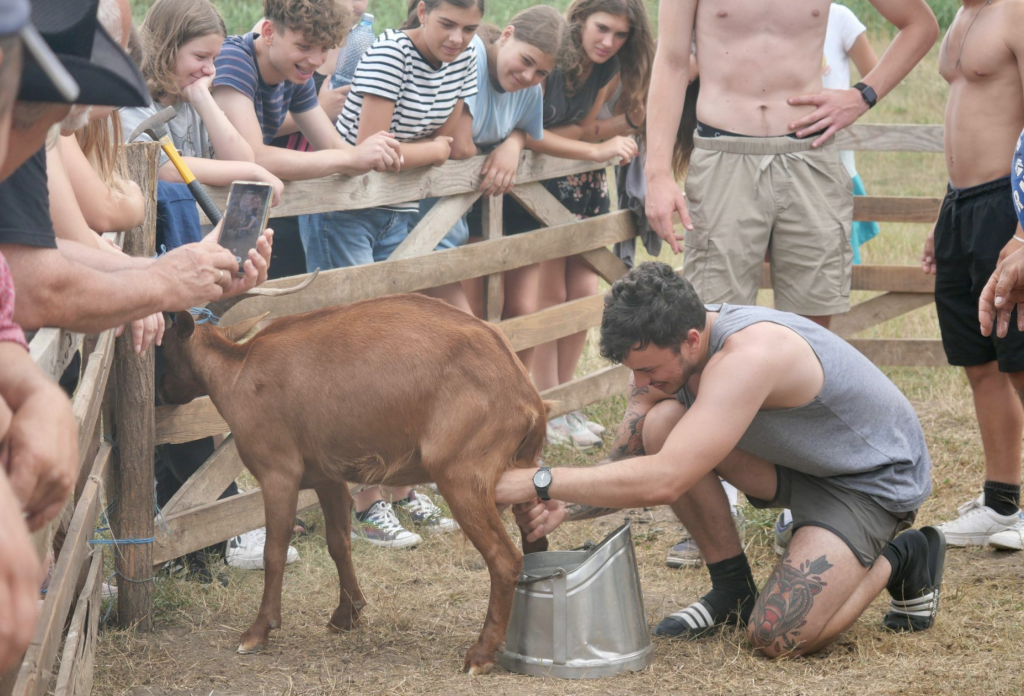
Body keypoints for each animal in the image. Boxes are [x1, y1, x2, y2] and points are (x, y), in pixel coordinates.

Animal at [157, 294, 552, 675]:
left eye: (163, 346)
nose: (162, 396)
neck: (239, 372)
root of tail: (526, 394)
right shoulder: (327, 476)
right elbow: (339, 543)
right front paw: (347, 615)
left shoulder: (277, 472)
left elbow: (275, 551)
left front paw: (257, 632)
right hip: (522, 469)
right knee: (536, 542)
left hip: (462, 475)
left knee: (505, 559)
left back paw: (480, 655)